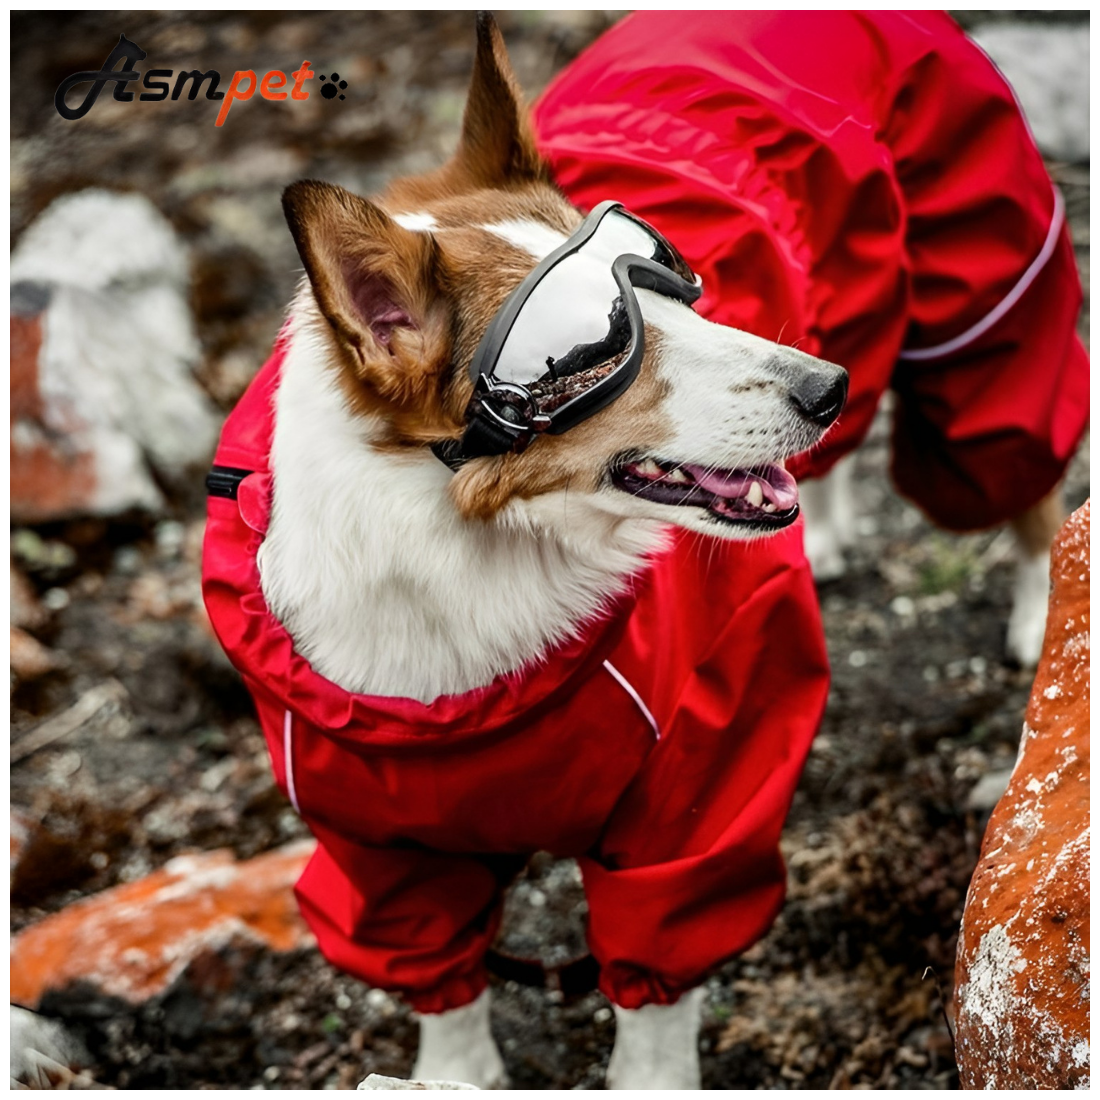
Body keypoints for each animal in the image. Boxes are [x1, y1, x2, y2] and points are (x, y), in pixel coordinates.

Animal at [202, 10, 844, 1091]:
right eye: (599, 354)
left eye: (678, 291)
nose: (826, 386)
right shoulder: (383, 851)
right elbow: (442, 979)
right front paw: (454, 1072)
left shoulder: (695, 792)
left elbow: (657, 985)